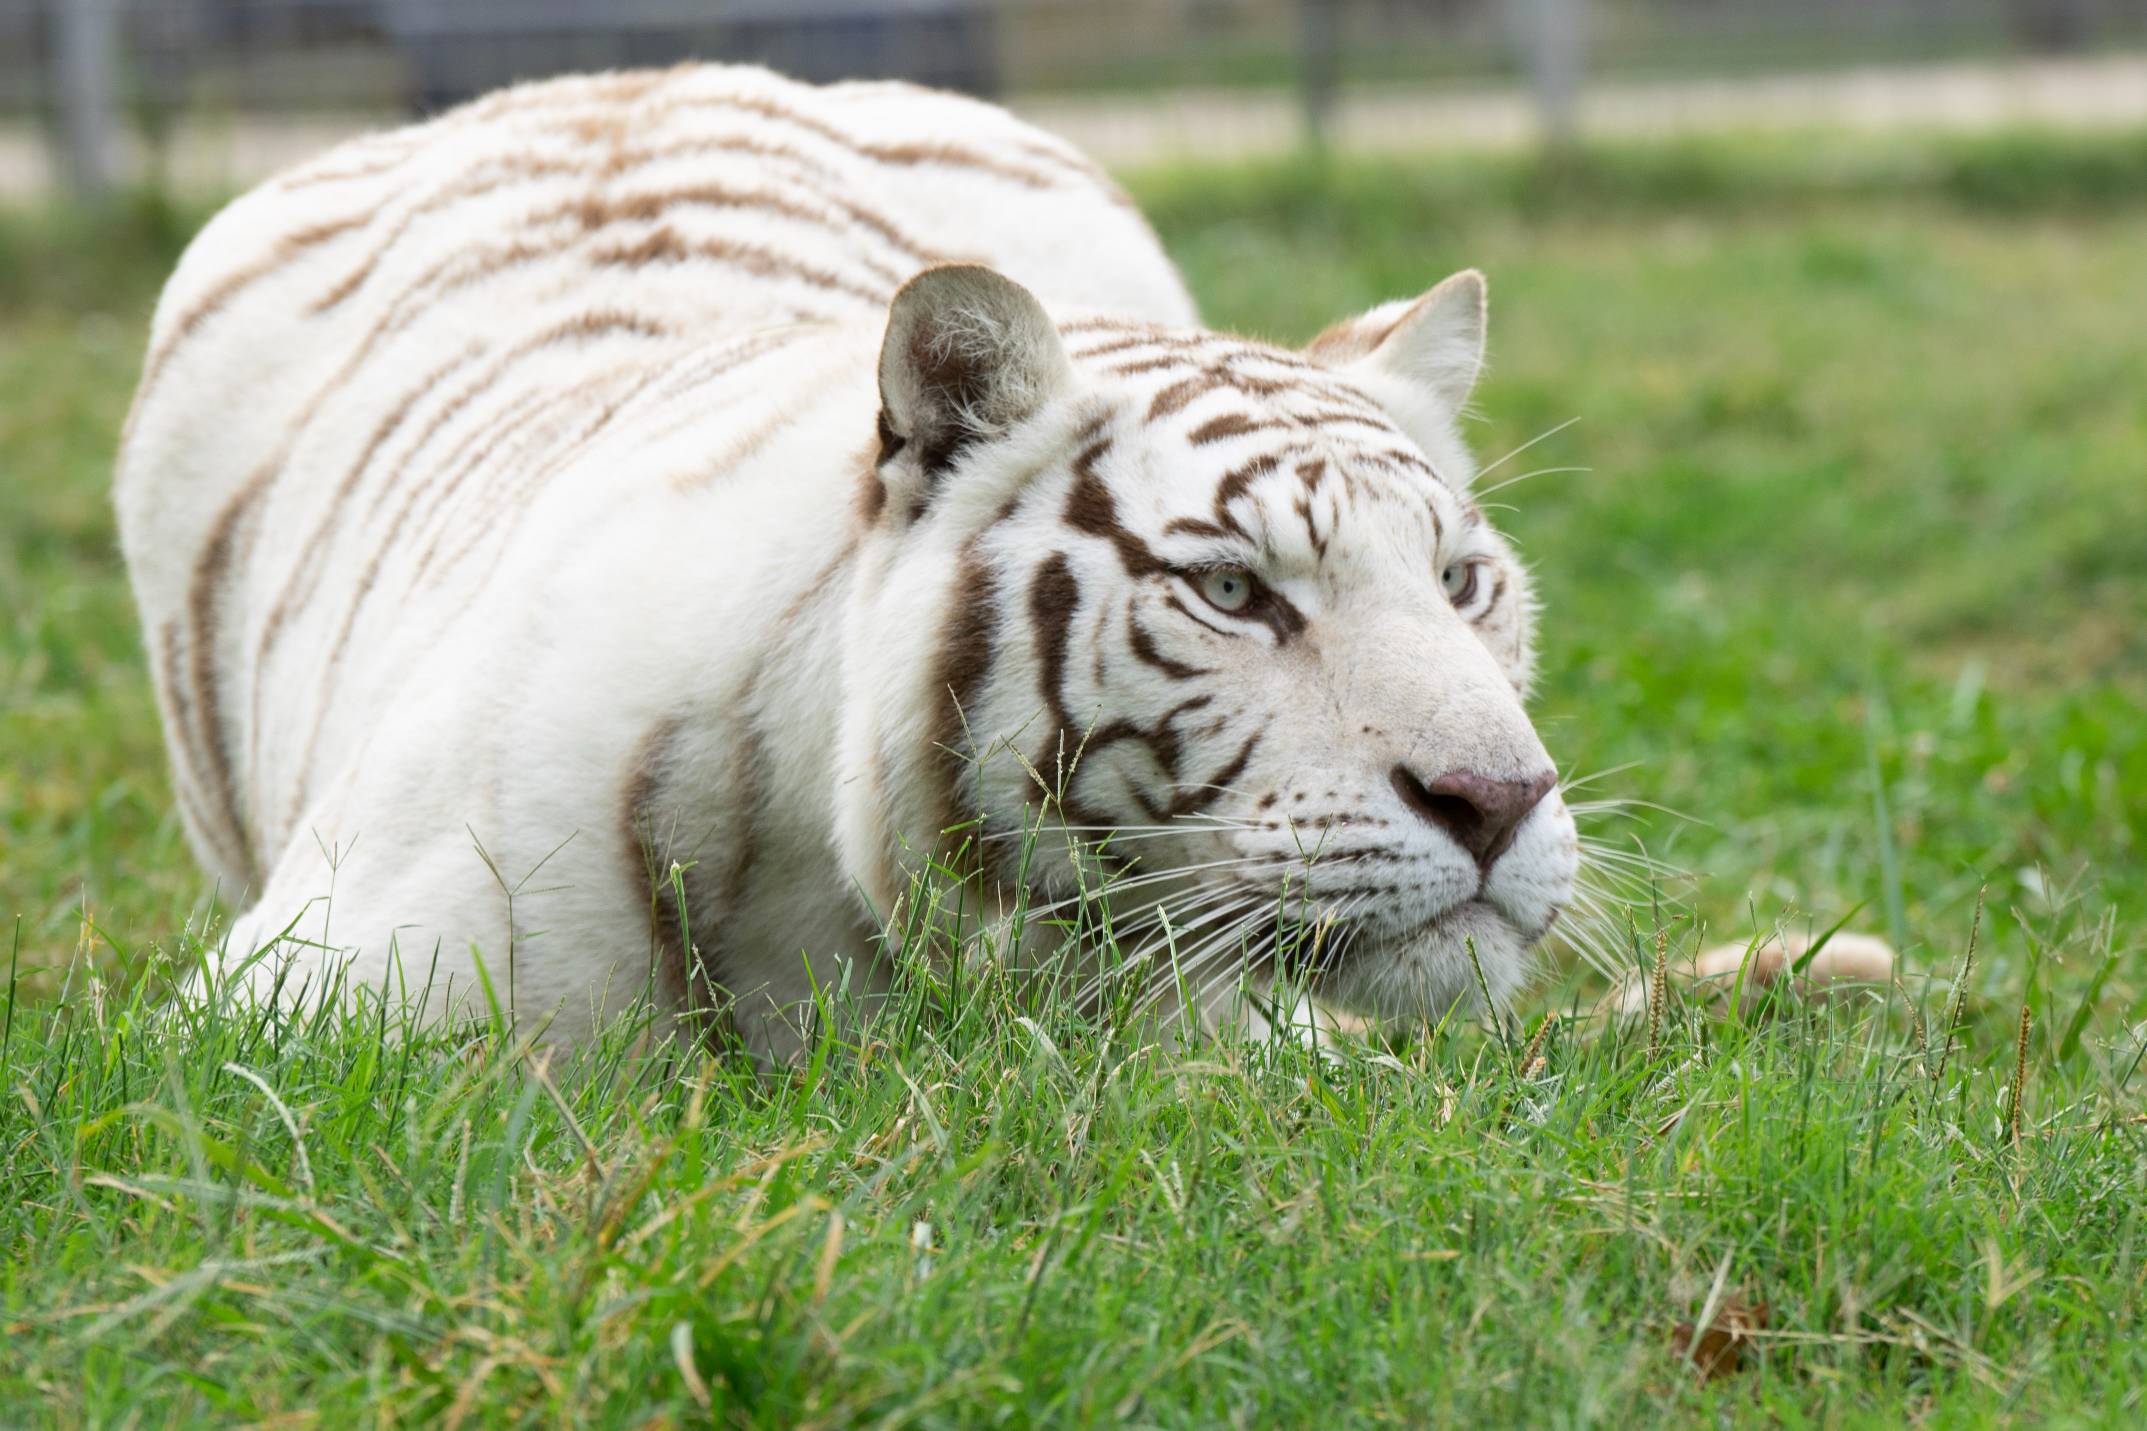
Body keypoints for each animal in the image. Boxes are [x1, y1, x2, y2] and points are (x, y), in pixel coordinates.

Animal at [116, 63, 1580, 1059]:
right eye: (1229, 590)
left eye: (1459, 584)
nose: (1496, 800)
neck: (836, 916)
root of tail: (606, 78)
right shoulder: (286, 1008)